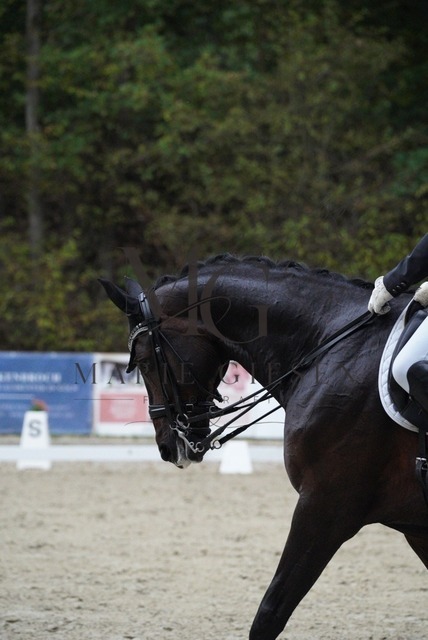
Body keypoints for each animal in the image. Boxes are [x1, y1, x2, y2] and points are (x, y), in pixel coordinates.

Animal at [100, 254, 428, 640]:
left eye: (144, 361)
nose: (168, 447)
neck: (328, 344)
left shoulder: (325, 506)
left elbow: (270, 612)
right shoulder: (414, 526)